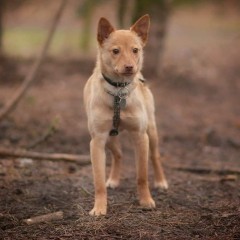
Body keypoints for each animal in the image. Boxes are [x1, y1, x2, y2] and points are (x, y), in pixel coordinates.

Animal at [83, 14, 168, 216]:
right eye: (115, 51)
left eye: (135, 50)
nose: (130, 67)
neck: (118, 93)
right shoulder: (97, 141)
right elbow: (98, 181)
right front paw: (99, 207)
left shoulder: (140, 136)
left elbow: (142, 176)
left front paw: (146, 201)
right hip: (110, 138)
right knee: (118, 154)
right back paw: (113, 179)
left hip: (151, 131)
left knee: (155, 156)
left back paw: (161, 181)